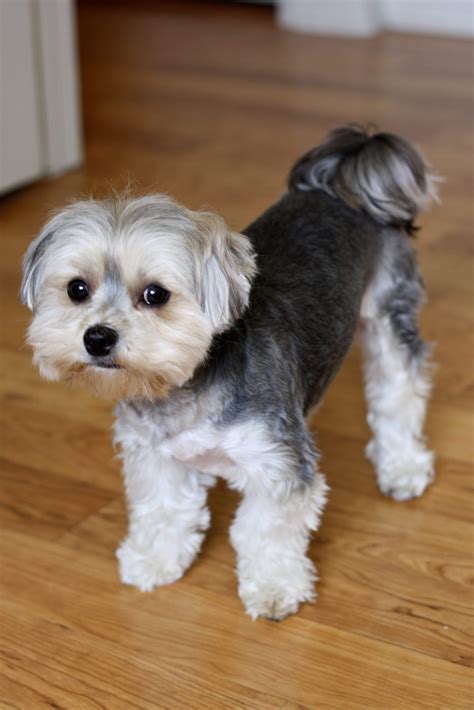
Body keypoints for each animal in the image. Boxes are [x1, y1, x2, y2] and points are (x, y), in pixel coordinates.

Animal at [21, 125, 436, 620]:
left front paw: (274, 587)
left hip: (390, 314)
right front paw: (154, 560)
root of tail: (340, 178)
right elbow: (164, 512)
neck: (186, 385)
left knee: (399, 393)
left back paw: (402, 468)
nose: (97, 338)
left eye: (155, 294)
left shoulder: (277, 465)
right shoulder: (155, 456)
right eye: (77, 289)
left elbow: (265, 531)